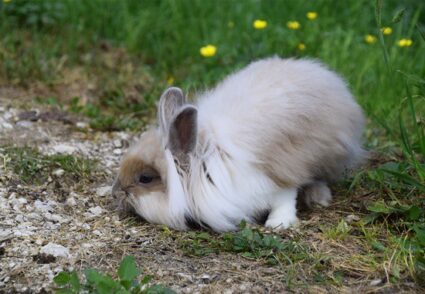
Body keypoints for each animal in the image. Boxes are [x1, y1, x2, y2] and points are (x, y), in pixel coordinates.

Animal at [112, 56, 364, 232]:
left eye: (145, 179)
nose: (116, 192)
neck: (204, 162)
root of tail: (323, 74)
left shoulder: (274, 179)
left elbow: (285, 198)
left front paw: (278, 223)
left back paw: (318, 197)